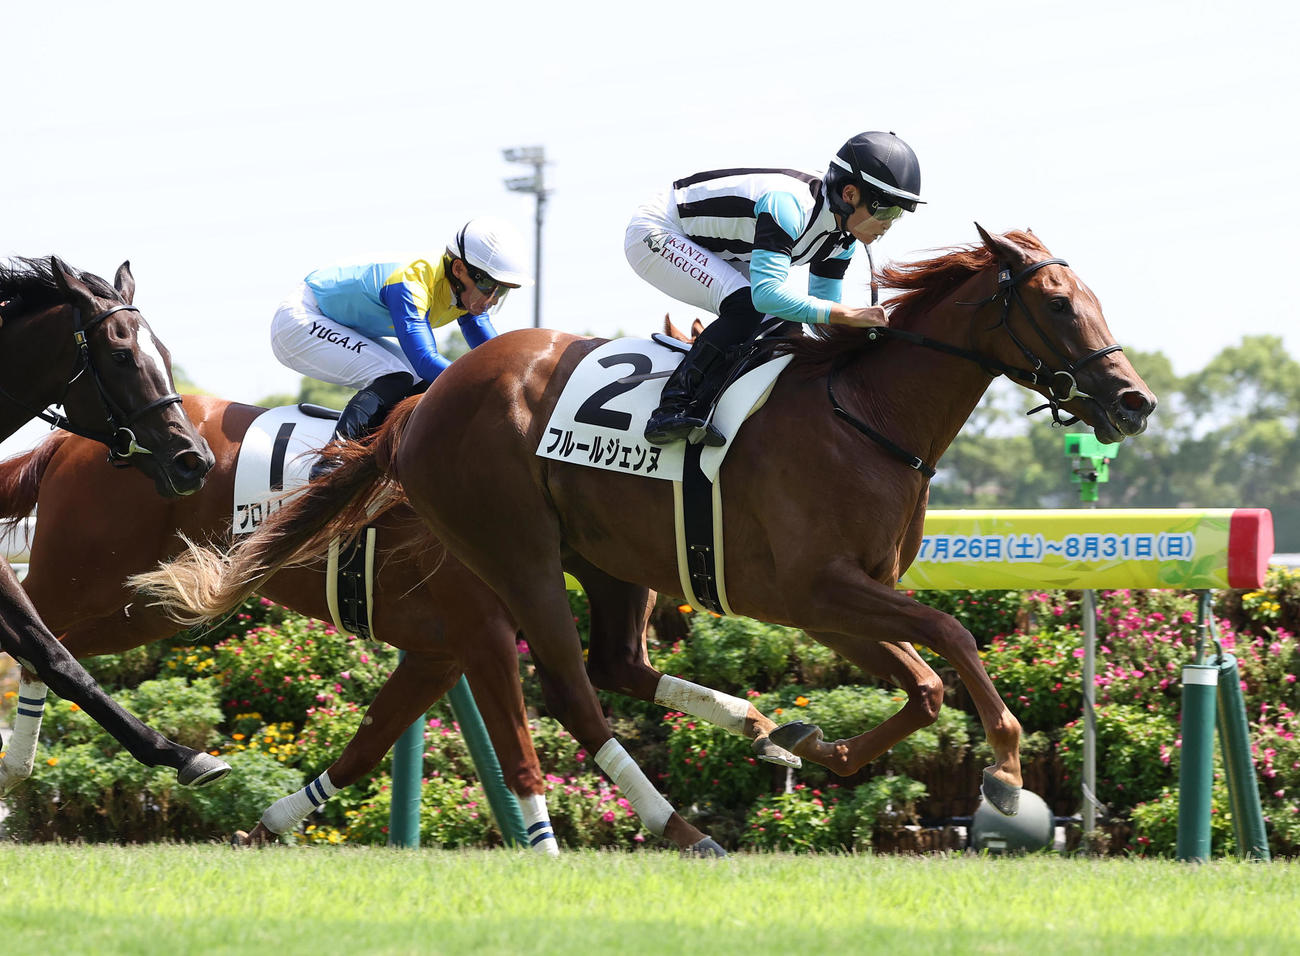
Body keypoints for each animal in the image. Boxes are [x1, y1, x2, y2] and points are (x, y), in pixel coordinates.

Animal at [0, 392, 791, 851]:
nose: (659, 616)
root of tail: (75, 440)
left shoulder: (439, 652)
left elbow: (365, 747)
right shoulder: (482, 635)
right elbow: (521, 745)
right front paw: (562, 848)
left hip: (139, 603)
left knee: (53, 650)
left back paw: (23, 765)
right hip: (82, 574)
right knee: (34, 634)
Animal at [133, 226, 1156, 836]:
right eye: (1058, 304)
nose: (1133, 401)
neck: (864, 416)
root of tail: (430, 400)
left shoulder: (834, 602)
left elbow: (924, 683)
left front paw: (814, 745)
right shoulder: (814, 588)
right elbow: (949, 638)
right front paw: (1008, 771)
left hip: (610, 559)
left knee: (618, 664)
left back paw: (748, 727)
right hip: (516, 551)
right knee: (572, 687)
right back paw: (684, 825)